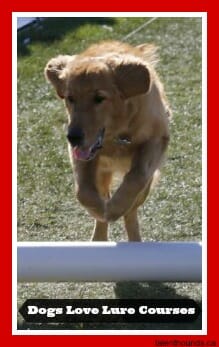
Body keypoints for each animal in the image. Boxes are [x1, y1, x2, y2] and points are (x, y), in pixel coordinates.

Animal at [45, 40, 171, 242]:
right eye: (70, 98)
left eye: (99, 98)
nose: (73, 137)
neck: (117, 134)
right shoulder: (82, 154)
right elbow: (83, 192)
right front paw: (101, 210)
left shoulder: (157, 139)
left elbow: (137, 176)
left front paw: (115, 208)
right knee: (103, 194)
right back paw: (99, 235)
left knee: (132, 210)